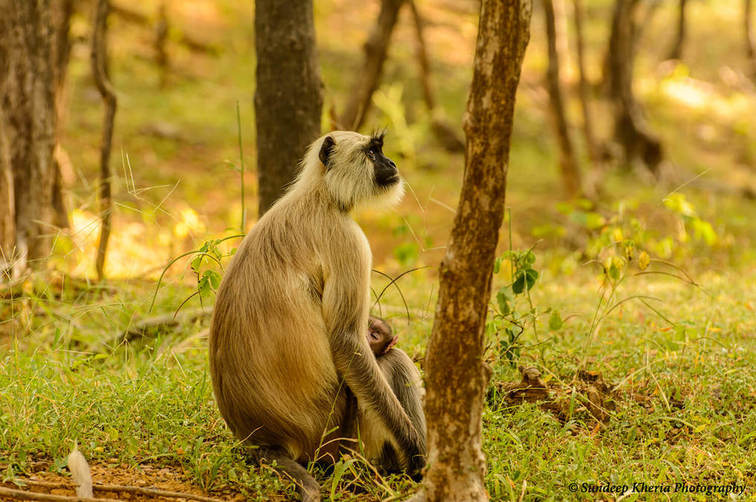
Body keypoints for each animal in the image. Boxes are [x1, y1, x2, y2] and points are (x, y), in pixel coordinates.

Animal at [208, 131, 426, 500]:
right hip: (336, 443)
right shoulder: (348, 239)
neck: (320, 195)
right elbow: (347, 342)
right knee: (391, 360)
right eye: (372, 153)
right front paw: (415, 453)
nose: (392, 163)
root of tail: (264, 441)